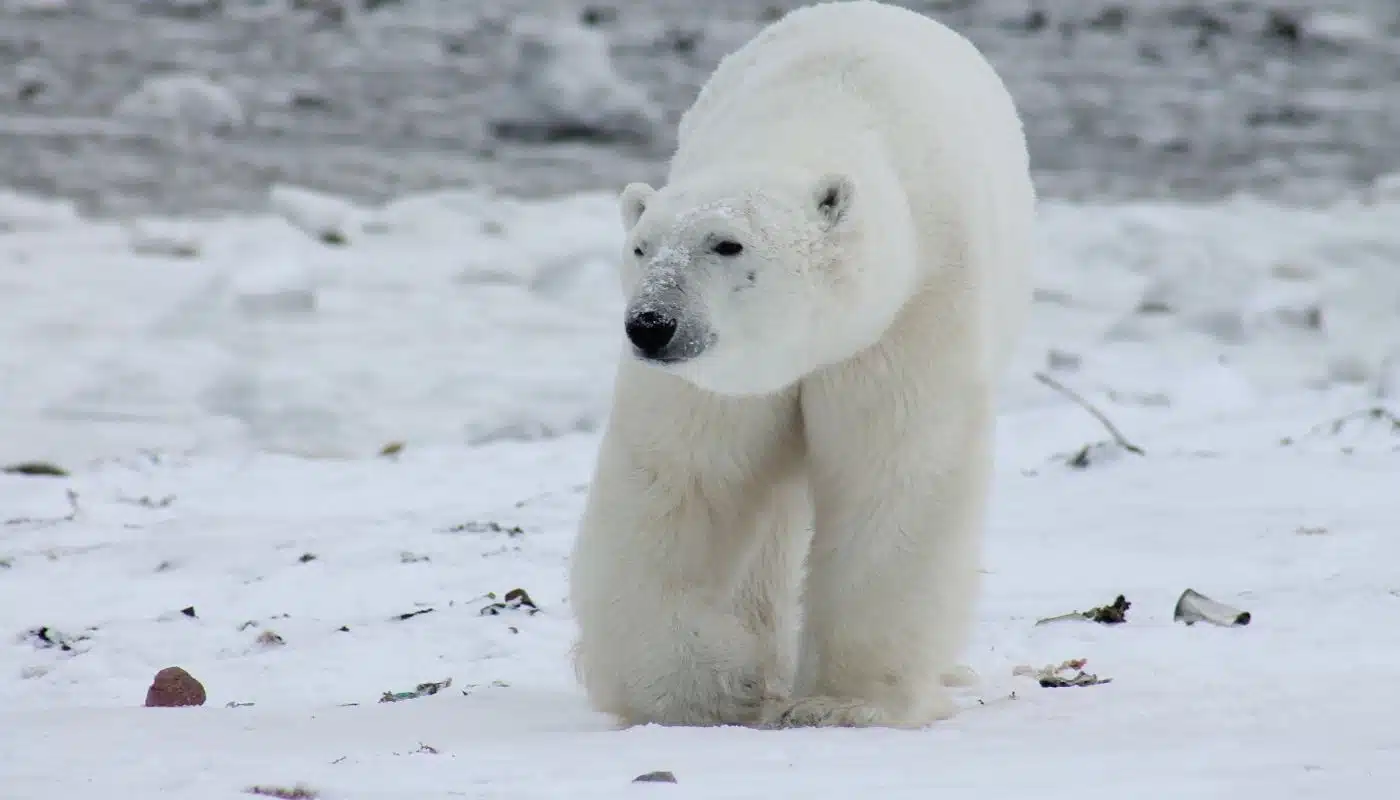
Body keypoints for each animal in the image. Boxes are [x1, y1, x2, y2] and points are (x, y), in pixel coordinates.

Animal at [567, 0, 1035, 729]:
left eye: (726, 244)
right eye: (642, 247)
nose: (650, 325)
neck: (816, 113)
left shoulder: (912, 312)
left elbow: (895, 475)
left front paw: (845, 703)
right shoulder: (719, 381)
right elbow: (682, 480)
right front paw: (704, 687)